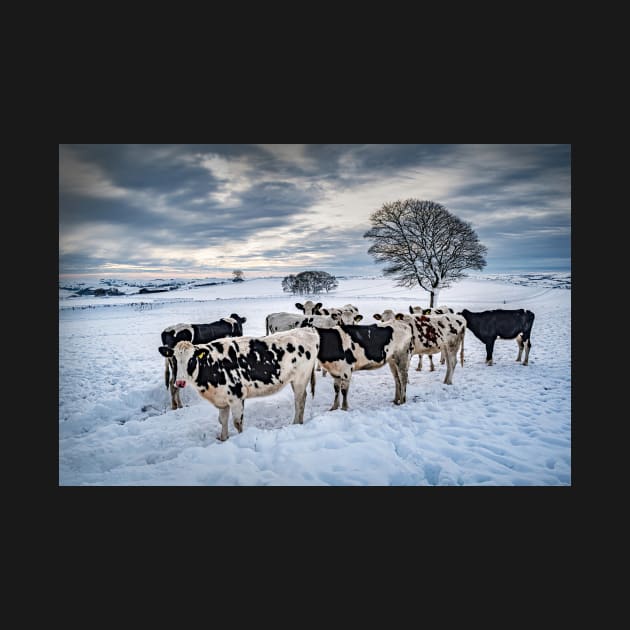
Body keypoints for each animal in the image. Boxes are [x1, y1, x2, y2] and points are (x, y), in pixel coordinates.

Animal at [157, 328, 316, 442]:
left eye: (191, 360)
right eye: (174, 359)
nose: (180, 382)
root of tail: (306, 330)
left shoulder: (236, 396)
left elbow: (237, 422)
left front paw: (240, 438)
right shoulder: (222, 399)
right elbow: (222, 420)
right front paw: (223, 438)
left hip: (300, 379)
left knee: (299, 402)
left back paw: (296, 423)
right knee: (302, 399)